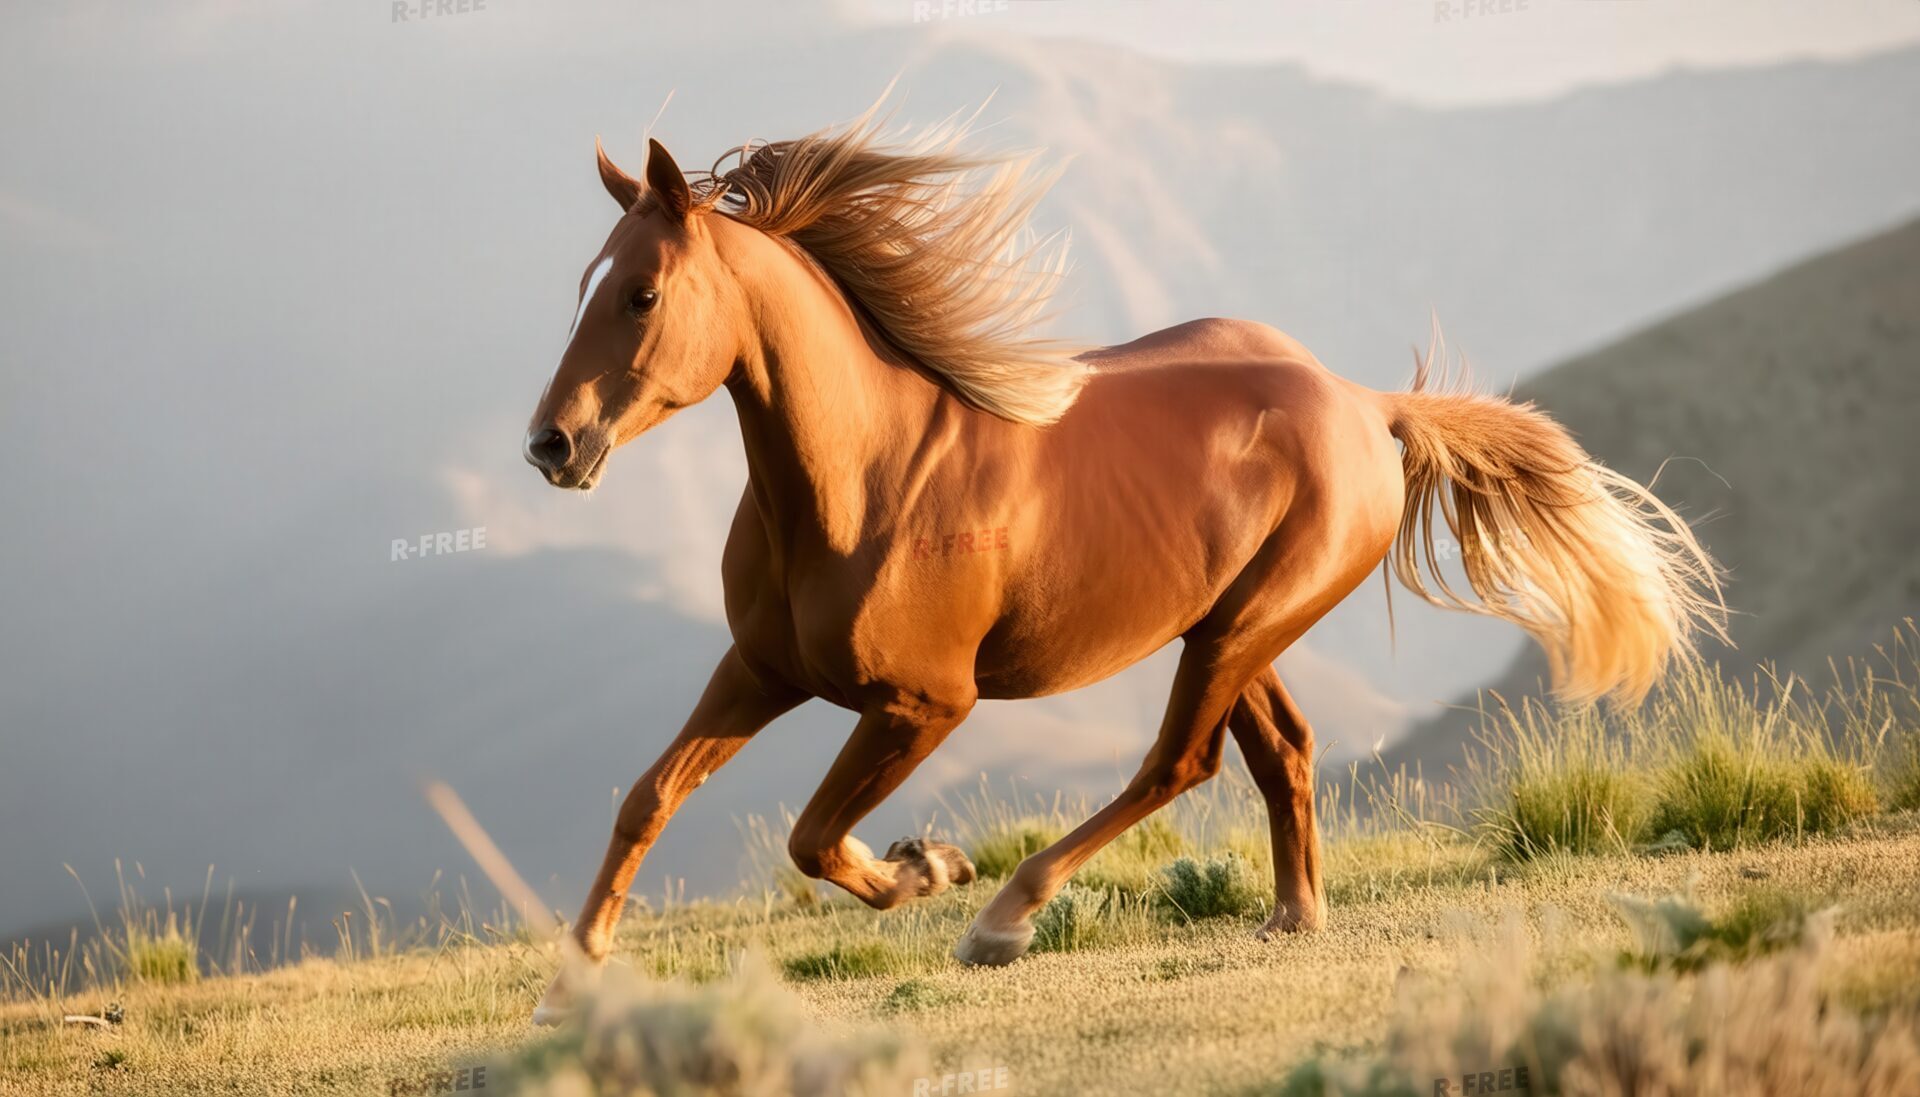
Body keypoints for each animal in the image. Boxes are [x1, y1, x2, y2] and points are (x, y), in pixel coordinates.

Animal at [520, 111, 1726, 1022]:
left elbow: (815, 837)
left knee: (1179, 761)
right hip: (1233, 625)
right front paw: (565, 990)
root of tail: (1364, 404)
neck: (862, 480)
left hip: (1242, 627)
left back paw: (1003, 916)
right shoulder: (760, 670)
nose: (552, 446)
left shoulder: (924, 703)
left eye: (640, 294)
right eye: (580, 283)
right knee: (1284, 748)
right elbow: (649, 797)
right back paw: (1291, 916)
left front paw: (930, 865)